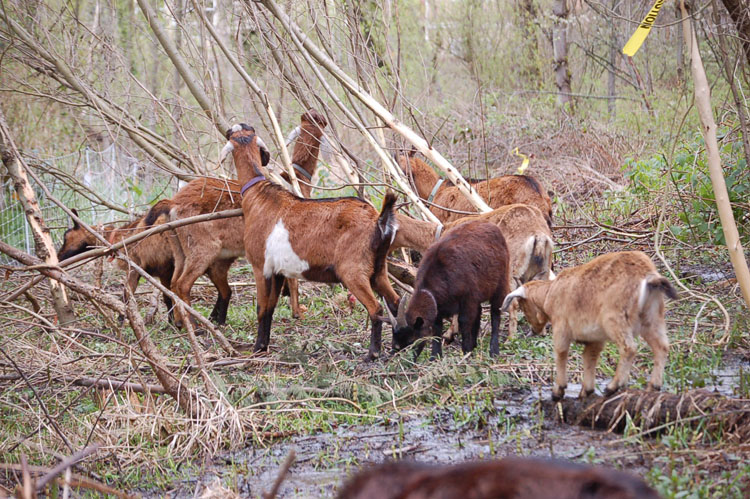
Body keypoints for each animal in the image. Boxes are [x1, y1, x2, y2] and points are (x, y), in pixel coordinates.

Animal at [222, 123, 400, 359]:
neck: (258, 196)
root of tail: (378, 219)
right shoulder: (278, 271)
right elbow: (270, 308)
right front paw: (264, 345)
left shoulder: (260, 266)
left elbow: (261, 308)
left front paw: (258, 348)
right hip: (379, 268)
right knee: (395, 301)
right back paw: (400, 345)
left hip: (353, 270)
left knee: (376, 308)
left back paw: (373, 353)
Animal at [391, 204, 554, 338]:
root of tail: (538, 234)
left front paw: (450, 334)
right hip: (543, 268)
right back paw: (541, 332)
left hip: (511, 267)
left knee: (513, 302)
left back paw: (510, 339)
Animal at [393, 220, 509, 358]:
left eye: (412, 339)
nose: (408, 360)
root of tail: (494, 227)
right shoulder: (439, 306)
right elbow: (437, 327)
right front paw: (435, 356)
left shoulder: (468, 298)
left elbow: (464, 321)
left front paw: (466, 350)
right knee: (479, 311)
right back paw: (474, 345)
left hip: (501, 283)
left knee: (495, 313)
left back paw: (494, 350)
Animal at [501, 251, 677, 400]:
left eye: (523, 305)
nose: (534, 331)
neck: (550, 293)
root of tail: (647, 276)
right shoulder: (594, 338)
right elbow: (590, 358)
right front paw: (586, 390)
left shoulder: (561, 327)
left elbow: (561, 353)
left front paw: (558, 390)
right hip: (652, 318)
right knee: (661, 347)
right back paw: (653, 386)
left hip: (616, 319)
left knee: (629, 348)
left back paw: (613, 387)